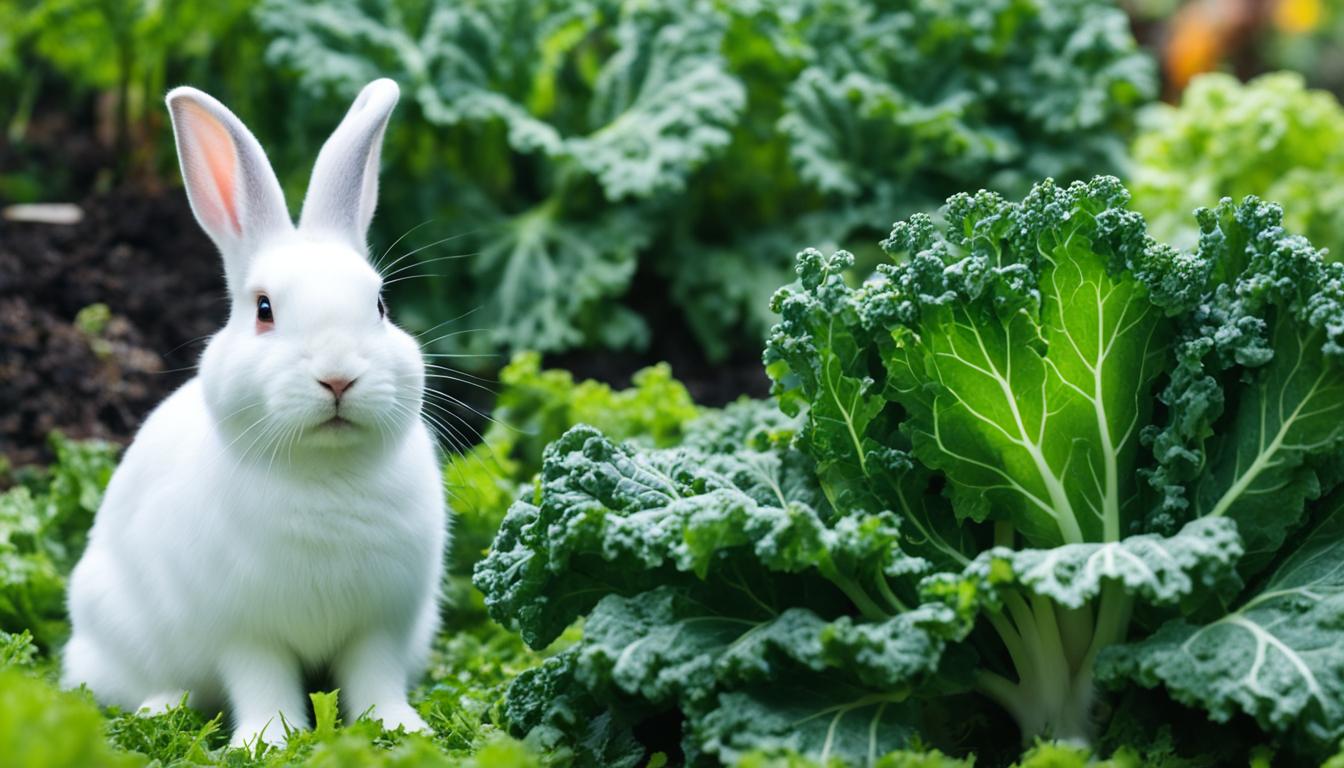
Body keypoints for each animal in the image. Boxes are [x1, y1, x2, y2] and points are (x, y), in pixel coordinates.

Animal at [60, 79, 447, 748]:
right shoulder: (245, 634)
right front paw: (268, 738)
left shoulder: (380, 627)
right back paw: (159, 709)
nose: (338, 375)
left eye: (379, 306)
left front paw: (400, 728)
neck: (325, 473)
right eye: (264, 308)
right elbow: (262, 681)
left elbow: (374, 678)